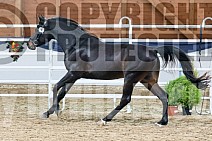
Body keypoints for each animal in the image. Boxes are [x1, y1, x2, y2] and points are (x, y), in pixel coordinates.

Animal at [28, 16, 210, 125]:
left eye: (38, 29)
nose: (30, 43)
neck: (77, 45)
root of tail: (153, 50)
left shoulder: (73, 74)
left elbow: (55, 88)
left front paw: (55, 111)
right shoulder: (74, 77)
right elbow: (61, 93)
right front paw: (48, 112)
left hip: (130, 78)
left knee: (125, 99)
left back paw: (105, 119)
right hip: (148, 81)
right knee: (164, 96)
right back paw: (162, 121)